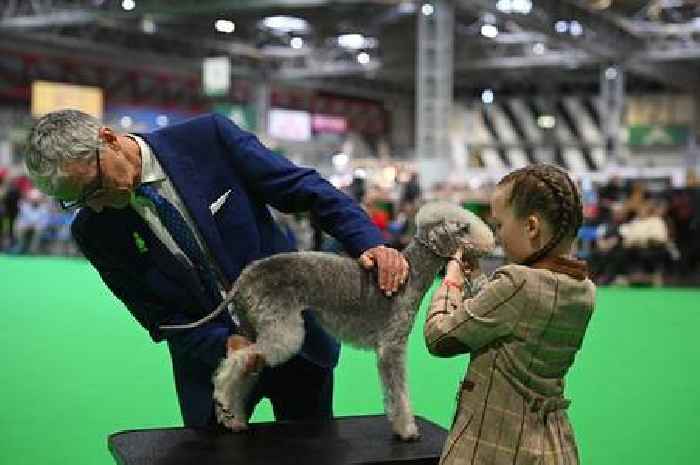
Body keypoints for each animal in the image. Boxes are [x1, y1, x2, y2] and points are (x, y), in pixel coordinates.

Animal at [212, 202, 492, 438]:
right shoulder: (392, 347)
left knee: (245, 362)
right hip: (283, 332)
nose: (490, 243)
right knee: (235, 362)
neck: (410, 275)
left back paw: (233, 419)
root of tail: (246, 276)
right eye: (465, 228)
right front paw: (407, 430)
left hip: (256, 327)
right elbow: (399, 392)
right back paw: (225, 402)